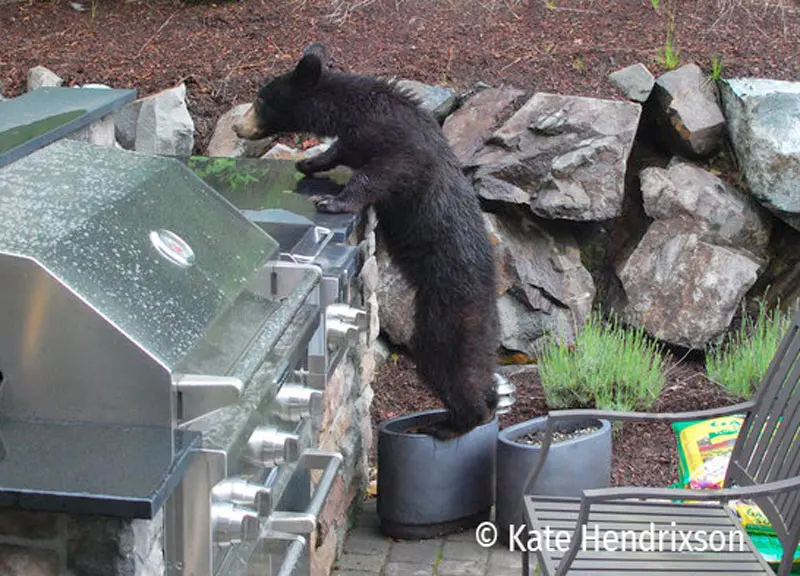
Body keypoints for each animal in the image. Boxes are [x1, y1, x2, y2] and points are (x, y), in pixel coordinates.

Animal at [233, 43, 499, 440]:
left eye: (261, 100)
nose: (238, 126)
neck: (352, 111)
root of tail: (492, 291)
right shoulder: (357, 137)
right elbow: (342, 151)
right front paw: (310, 162)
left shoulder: (400, 145)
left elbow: (383, 172)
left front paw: (331, 200)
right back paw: (488, 401)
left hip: (449, 307)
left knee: (445, 362)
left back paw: (454, 422)